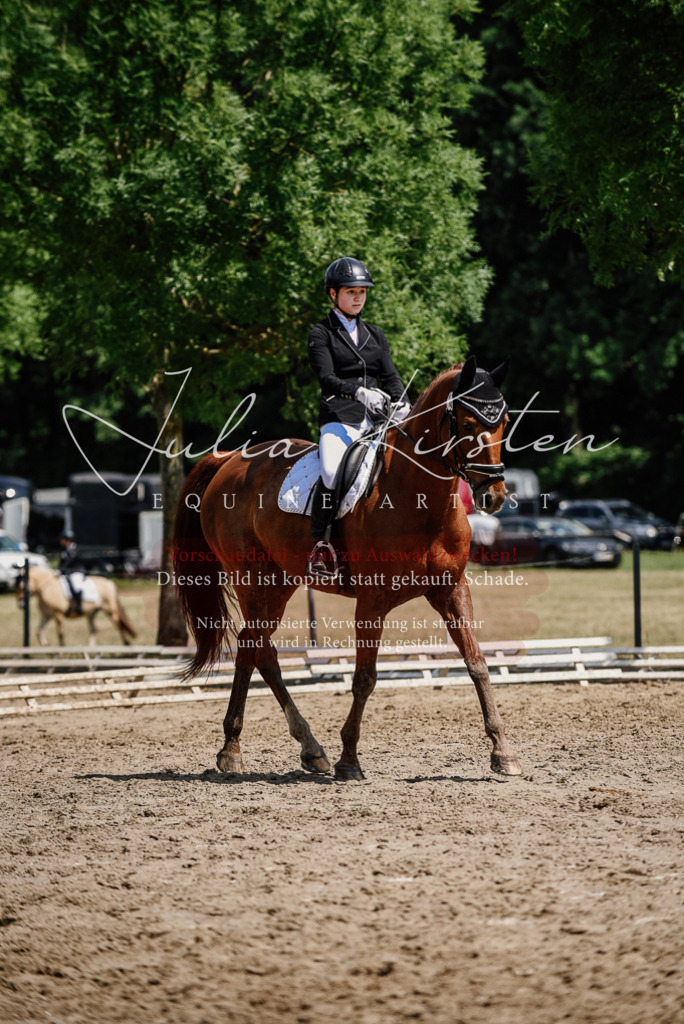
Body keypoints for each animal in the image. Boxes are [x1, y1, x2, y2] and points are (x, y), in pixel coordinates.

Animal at [173, 355, 522, 780]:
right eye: (468, 424)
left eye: (505, 422)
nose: (494, 495)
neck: (421, 500)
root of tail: (228, 460)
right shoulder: (371, 601)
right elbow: (365, 678)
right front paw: (349, 761)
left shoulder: (451, 591)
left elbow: (477, 664)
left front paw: (503, 753)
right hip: (250, 578)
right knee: (259, 648)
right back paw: (269, 749)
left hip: (280, 581)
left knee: (252, 646)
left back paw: (273, 748)